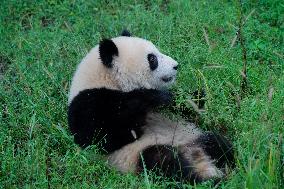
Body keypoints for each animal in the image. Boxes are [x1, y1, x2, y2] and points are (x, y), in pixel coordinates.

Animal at [67, 30, 234, 184]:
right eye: (152, 58)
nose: (176, 66)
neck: (108, 80)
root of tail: (199, 158)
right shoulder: (87, 103)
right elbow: (101, 137)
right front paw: (156, 97)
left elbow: (185, 109)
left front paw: (196, 95)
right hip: (137, 156)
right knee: (163, 161)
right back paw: (205, 179)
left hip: (193, 135)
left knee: (217, 143)